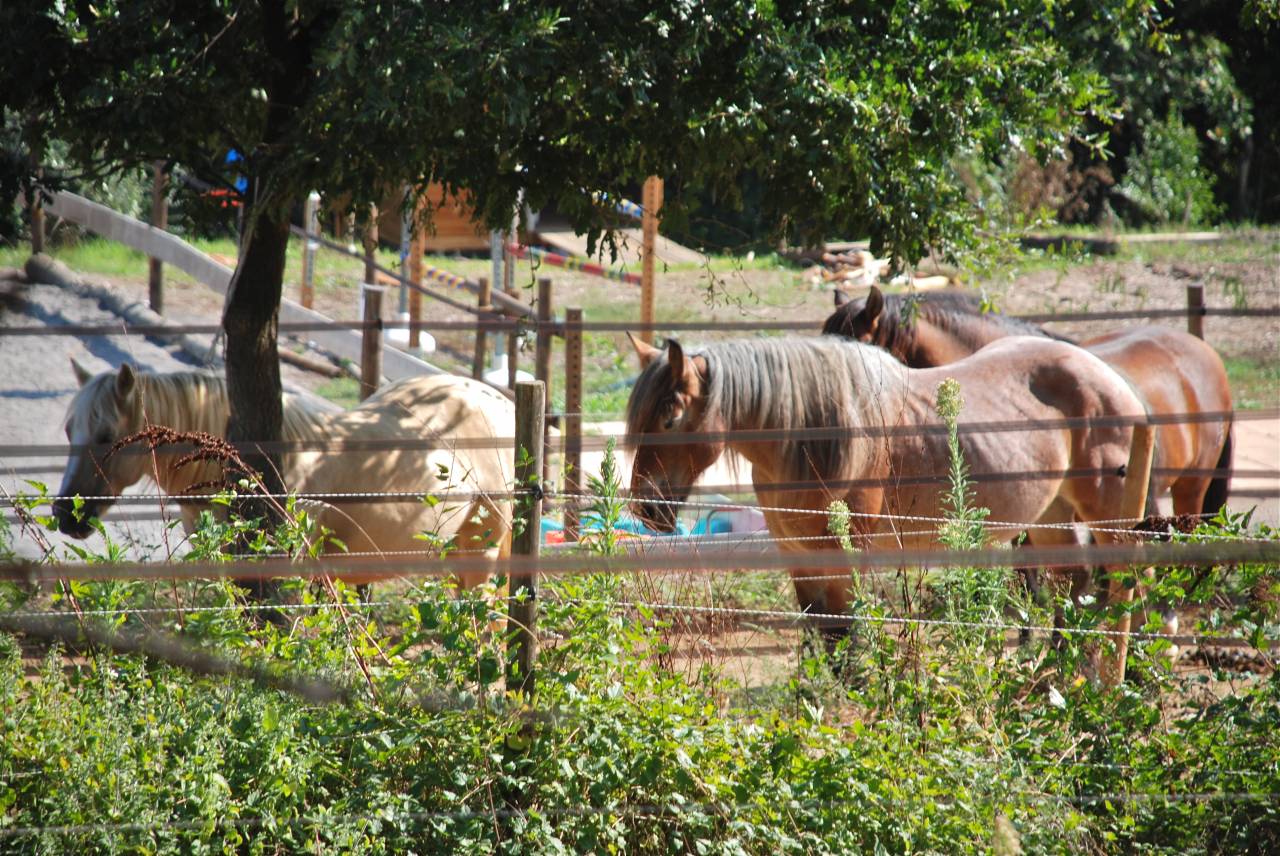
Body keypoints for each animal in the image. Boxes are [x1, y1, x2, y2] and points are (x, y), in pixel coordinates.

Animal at [625, 334, 1154, 655]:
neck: (813, 439)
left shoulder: (844, 555)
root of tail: (1113, 379)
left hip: (1108, 518)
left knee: (1127, 585)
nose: (645, 509)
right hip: (1050, 518)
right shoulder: (798, 557)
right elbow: (821, 636)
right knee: (1077, 586)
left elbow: (844, 637)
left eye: (670, 418)